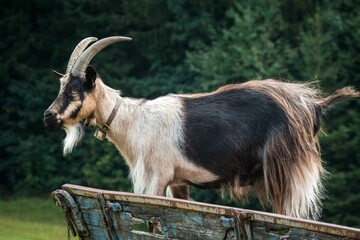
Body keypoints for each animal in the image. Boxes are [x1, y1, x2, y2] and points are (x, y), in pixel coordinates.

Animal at [43, 36, 358, 219]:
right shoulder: (177, 183)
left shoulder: (155, 180)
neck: (136, 122)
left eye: (74, 91)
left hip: (290, 171)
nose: (48, 117)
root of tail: (312, 105)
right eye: (61, 86)